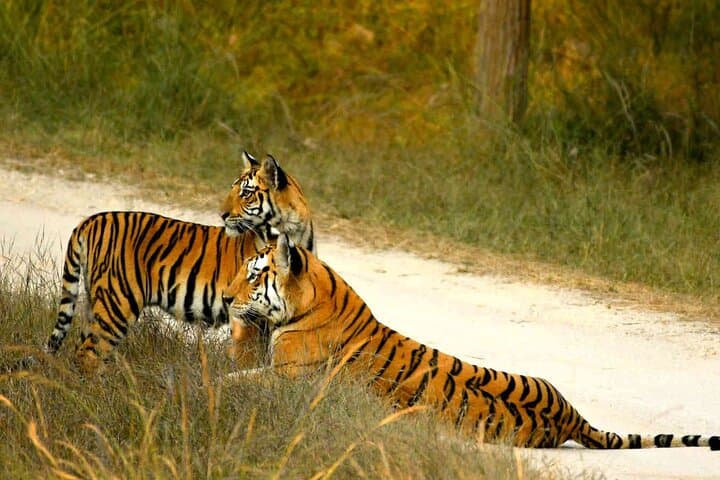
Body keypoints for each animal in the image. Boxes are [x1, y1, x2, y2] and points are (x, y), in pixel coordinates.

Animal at [46, 151, 315, 374]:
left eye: (246, 193)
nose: (222, 215)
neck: (293, 230)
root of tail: (89, 221)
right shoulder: (248, 317)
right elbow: (248, 359)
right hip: (117, 304)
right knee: (88, 354)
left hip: (97, 303)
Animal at [223, 234, 720, 450]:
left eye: (254, 274)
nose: (225, 298)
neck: (315, 299)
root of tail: (574, 419)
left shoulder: (288, 378)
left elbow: (236, 377)